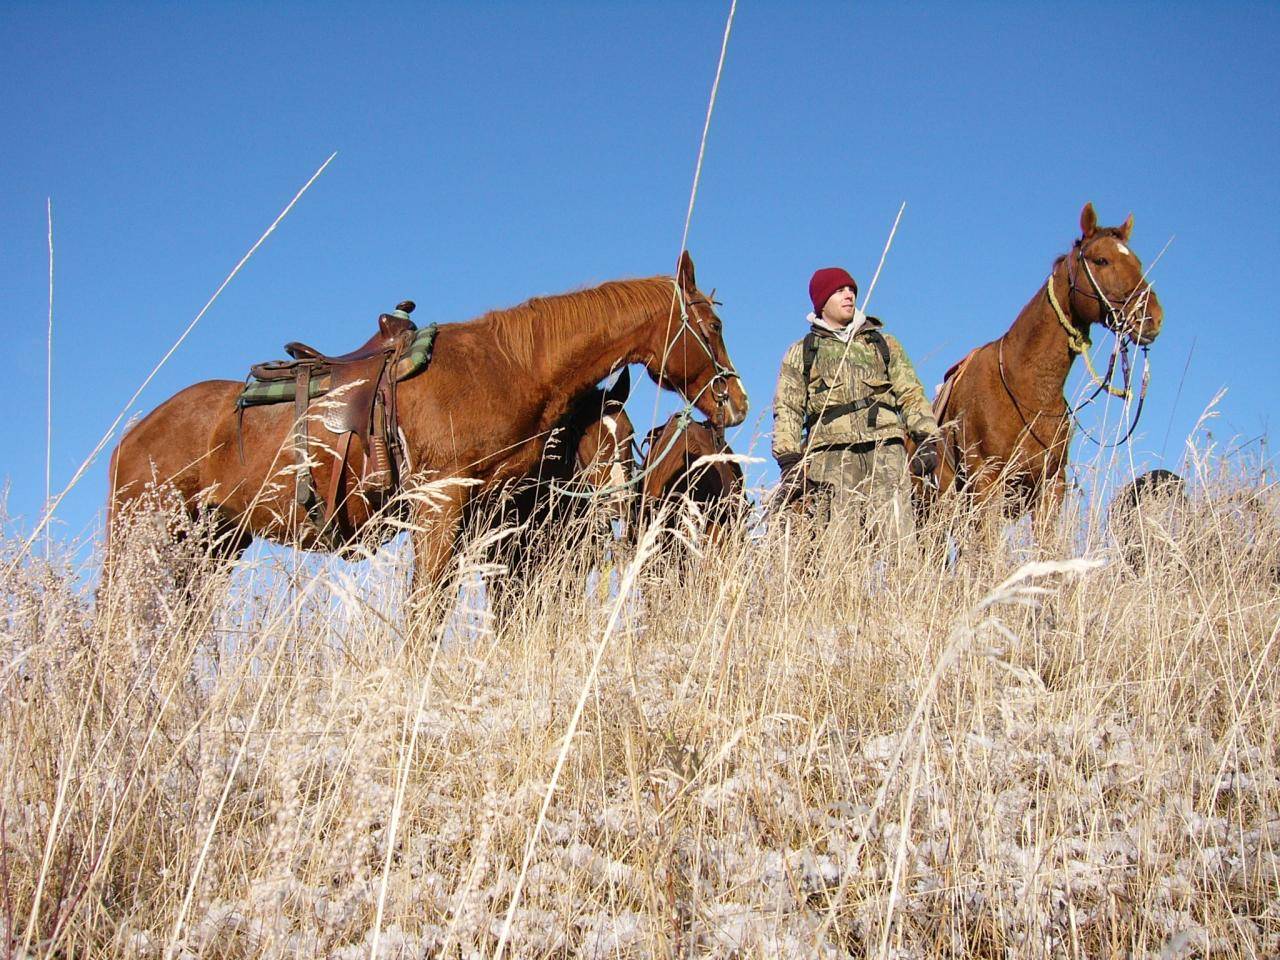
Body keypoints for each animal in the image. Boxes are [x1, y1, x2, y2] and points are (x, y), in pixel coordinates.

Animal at [112, 252, 747, 604]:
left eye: (633, 438)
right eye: (713, 326)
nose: (736, 400)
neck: (508, 368)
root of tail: (135, 433)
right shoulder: (439, 506)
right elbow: (426, 613)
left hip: (216, 545)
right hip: (143, 537)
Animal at [921, 204, 1162, 535]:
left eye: (1137, 262)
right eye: (1101, 259)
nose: (1152, 317)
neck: (1027, 387)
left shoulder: (1050, 489)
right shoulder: (986, 484)